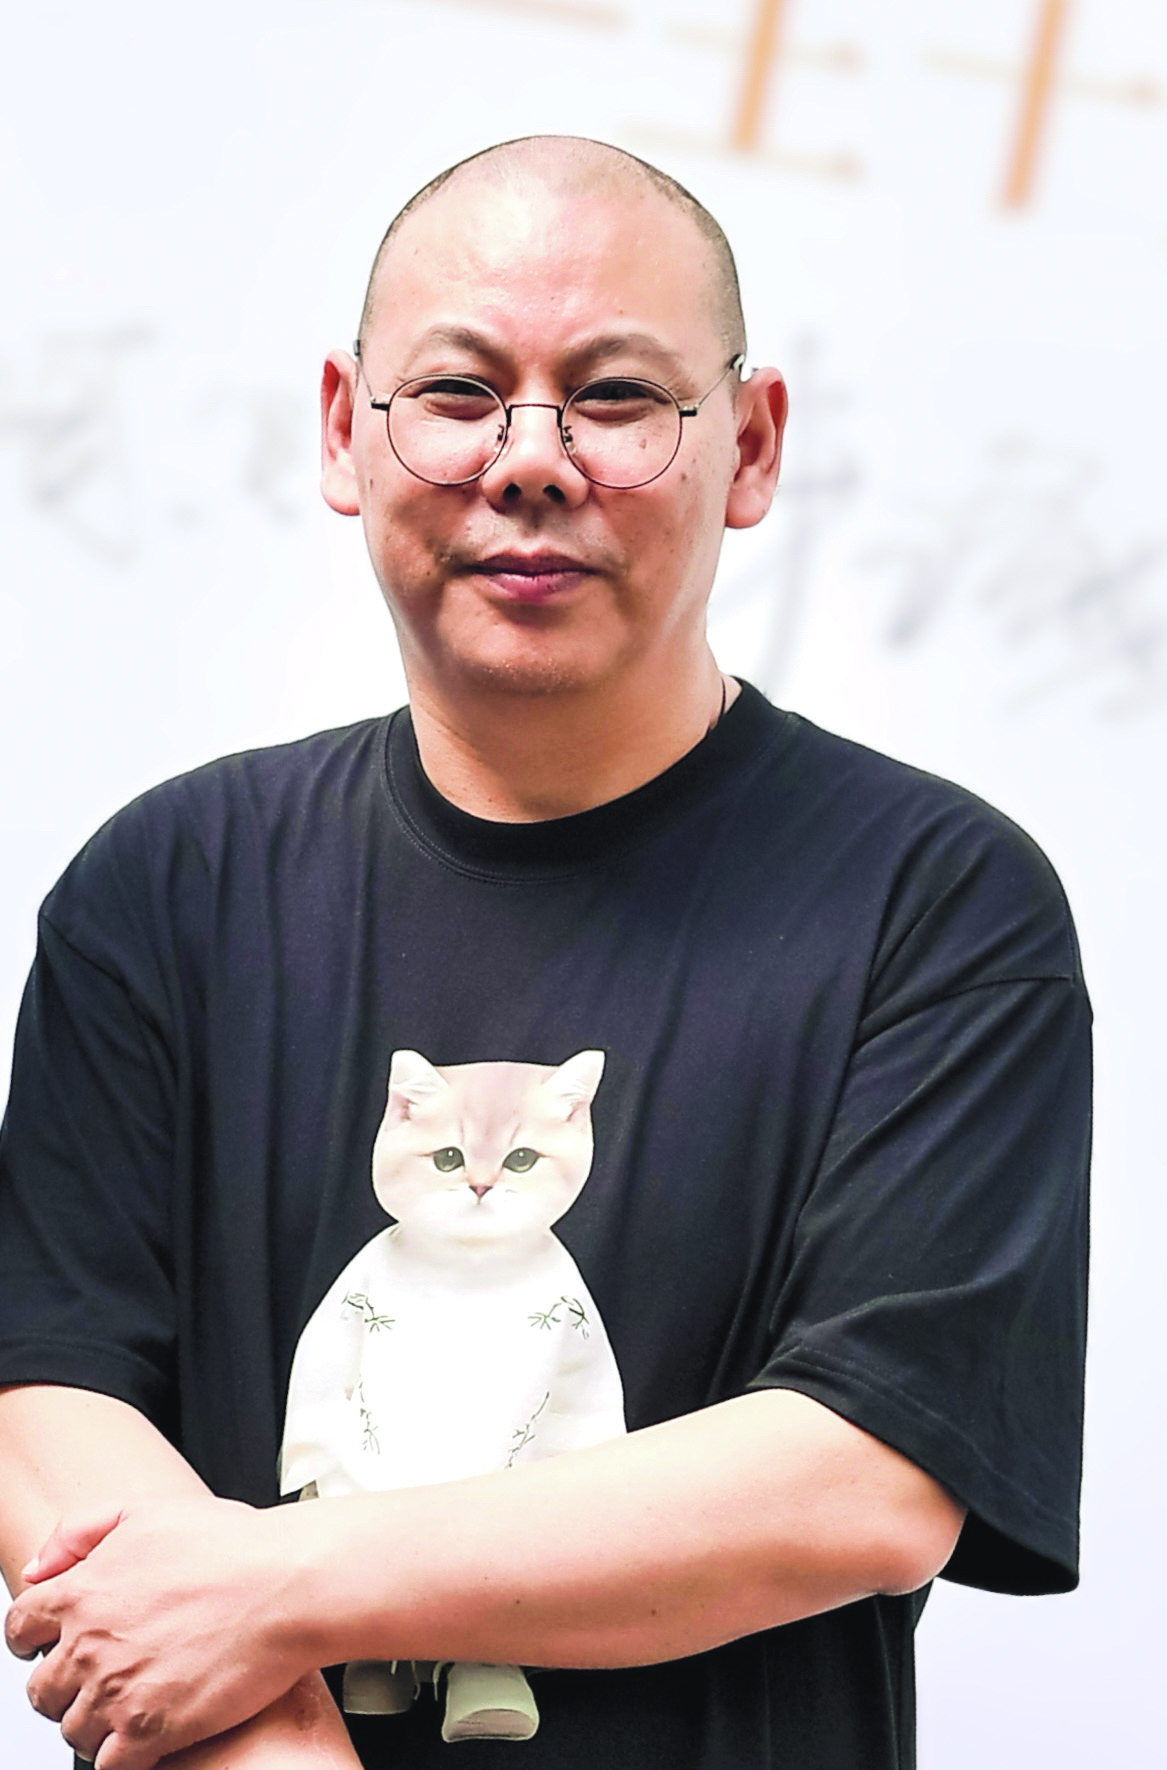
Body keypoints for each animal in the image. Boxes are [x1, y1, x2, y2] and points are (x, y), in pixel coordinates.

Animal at [279, 1047, 626, 1743]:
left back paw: (488, 1706)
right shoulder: (350, 1313)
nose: (481, 1186)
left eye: (520, 1159)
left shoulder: (572, 1323)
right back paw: (374, 1684)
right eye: (447, 1158)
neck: (468, 1268)